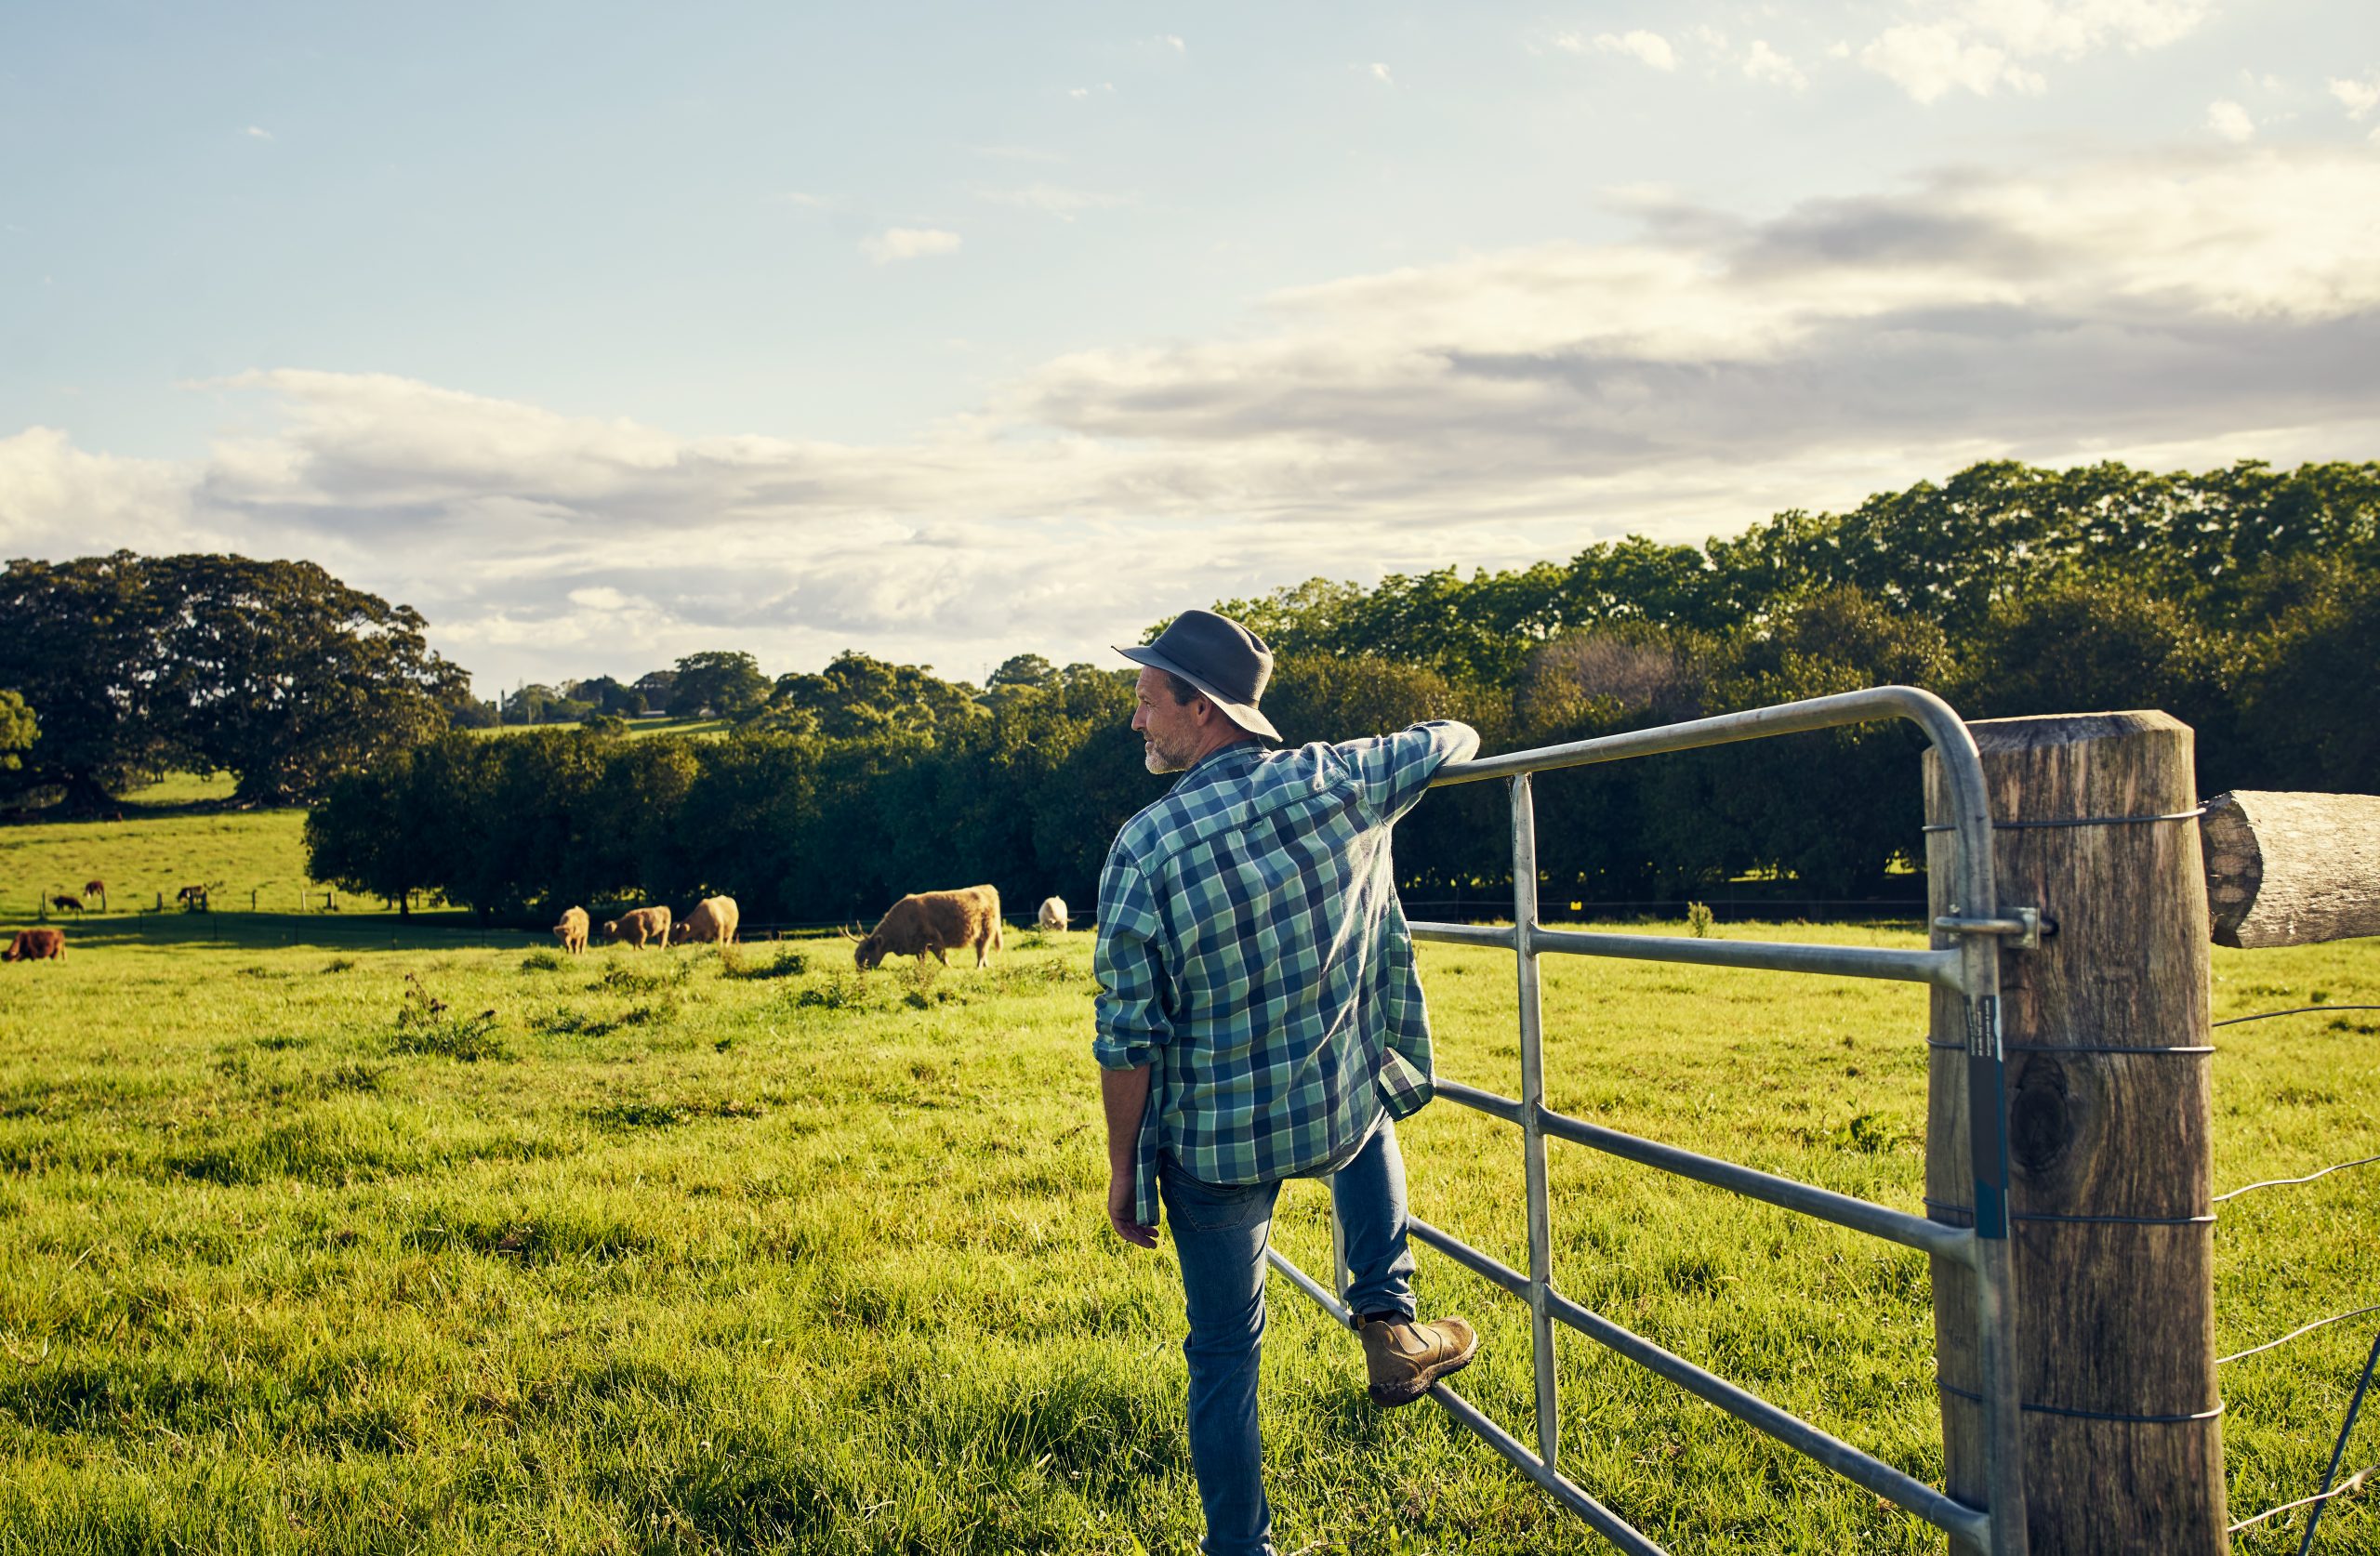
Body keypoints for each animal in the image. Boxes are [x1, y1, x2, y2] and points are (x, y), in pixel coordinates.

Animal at [852, 885, 999, 970]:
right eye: (856, 955)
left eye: (865, 953)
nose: (859, 969)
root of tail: (987, 887)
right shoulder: (919, 947)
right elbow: (921, 960)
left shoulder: (934, 940)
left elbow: (942, 957)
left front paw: (950, 967)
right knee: (981, 949)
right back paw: (986, 966)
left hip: (987, 930)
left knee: (982, 949)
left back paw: (979, 967)